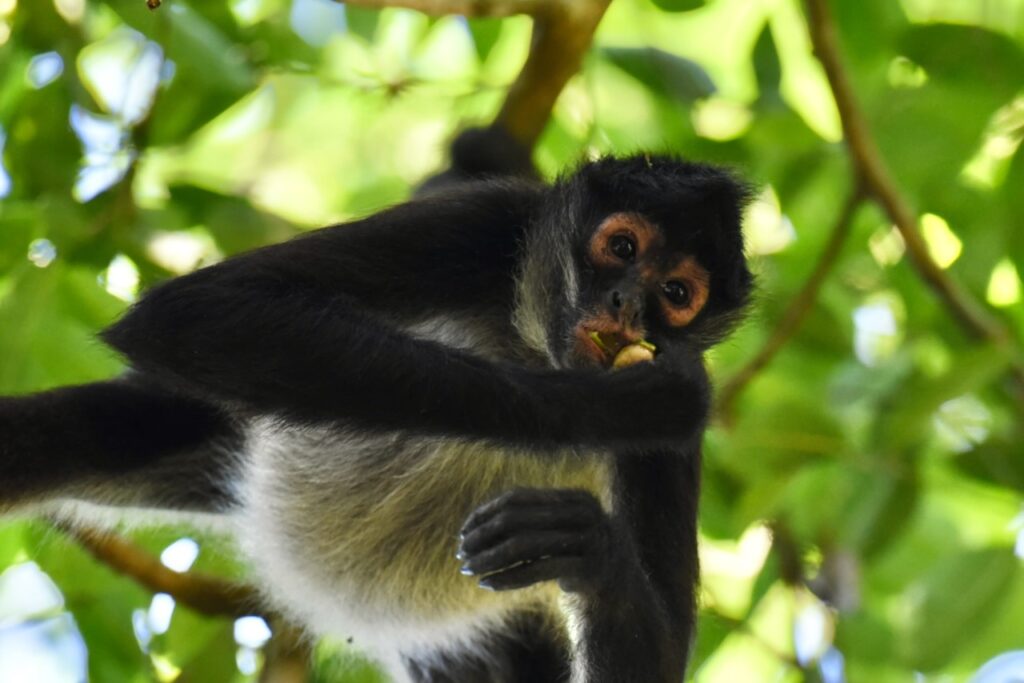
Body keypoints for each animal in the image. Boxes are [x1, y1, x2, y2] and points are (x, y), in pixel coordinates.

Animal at [0, 140, 752, 682]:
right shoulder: (486, 223)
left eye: (676, 293)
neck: (535, 345)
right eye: (622, 247)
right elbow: (188, 315)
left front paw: (587, 548)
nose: (629, 302)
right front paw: (614, 408)